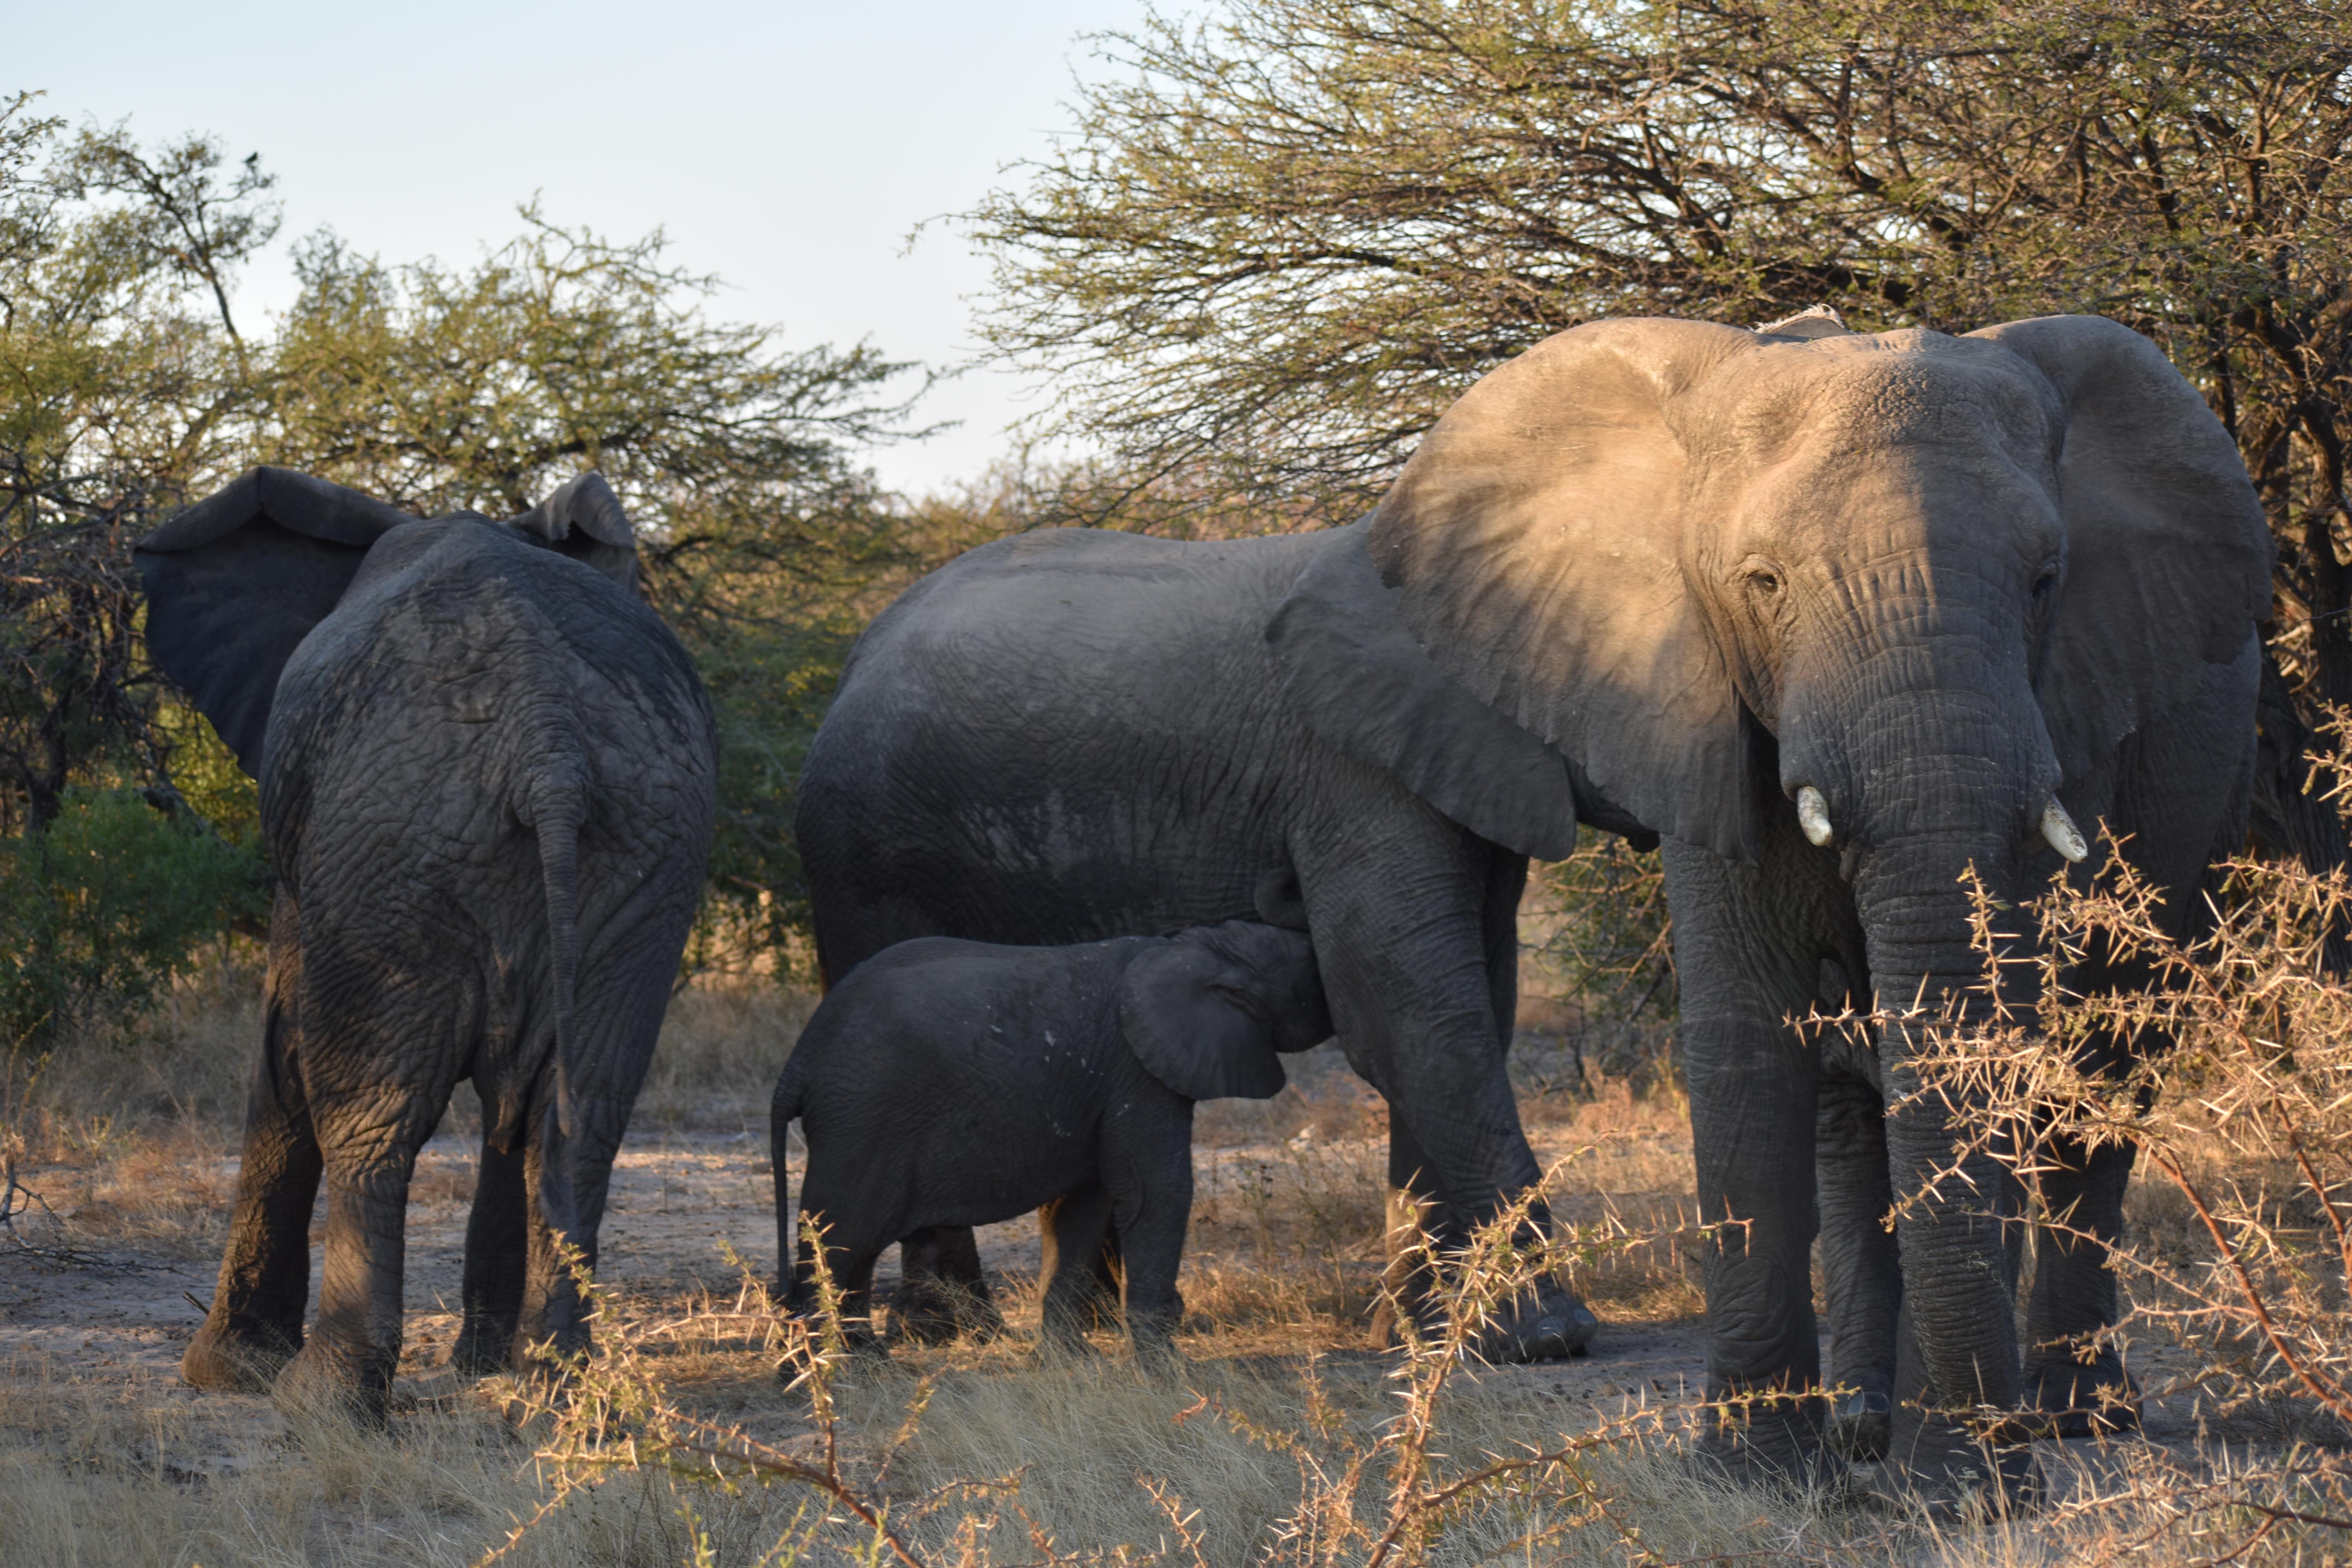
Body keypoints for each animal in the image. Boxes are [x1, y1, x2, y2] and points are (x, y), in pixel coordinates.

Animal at [129, 470, 710, 1420]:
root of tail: (547, 739)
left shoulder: (317, 857)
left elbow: (283, 1046)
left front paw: (225, 1375)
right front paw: (484, 1368)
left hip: (388, 842)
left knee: (371, 1112)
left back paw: (321, 1403)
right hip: (644, 856)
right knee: (577, 1113)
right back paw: (555, 1393)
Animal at [767, 921, 1327, 1363]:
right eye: (1311, 973)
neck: (1197, 944)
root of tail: (799, 1060)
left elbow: (1079, 1209)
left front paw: (1067, 1361)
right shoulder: (1137, 1073)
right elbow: (1154, 1192)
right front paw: (1168, 1371)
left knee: (851, 1249)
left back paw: (867, 1366)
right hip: (863, 1117)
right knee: (843, 1237)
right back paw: (820, 1374)